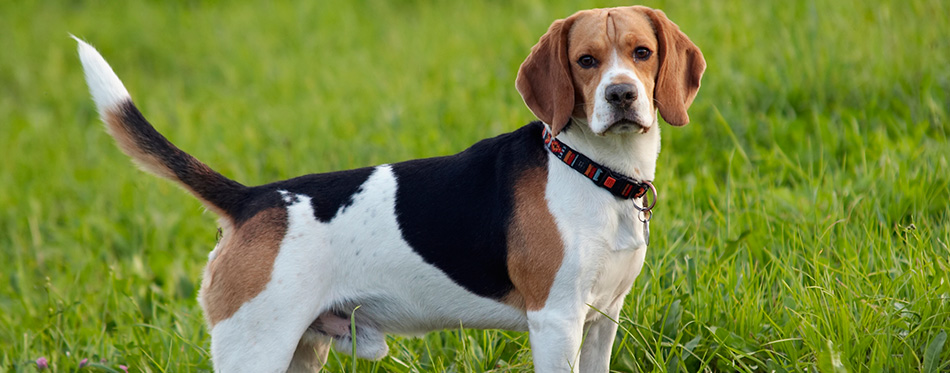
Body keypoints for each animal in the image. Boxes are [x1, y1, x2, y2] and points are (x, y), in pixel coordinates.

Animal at [76, 5, 708, 372]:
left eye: (642, 53)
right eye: (585, 60)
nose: (622, 95)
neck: (591, 168)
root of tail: (252, 198)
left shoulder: (602, 319)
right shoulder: (555, 321)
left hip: (302, 350)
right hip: (255, 348)